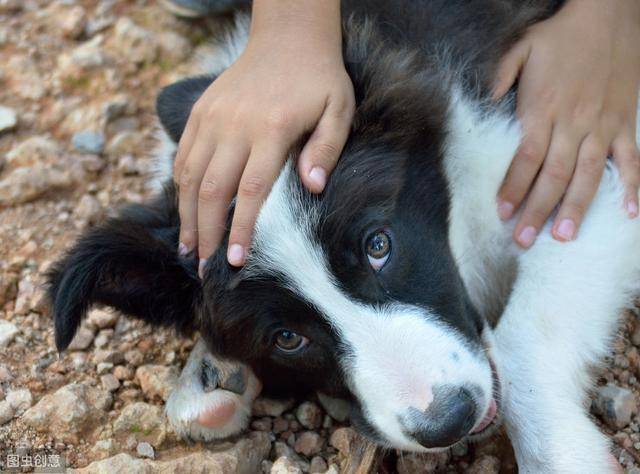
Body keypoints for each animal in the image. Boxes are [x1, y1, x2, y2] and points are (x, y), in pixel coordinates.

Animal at [46, 1, 640, 472]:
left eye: (379, 246)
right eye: (287, 337)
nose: (449, 421)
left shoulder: (576, 180)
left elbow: (521, 340)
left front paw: (564, 455)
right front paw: (210, 376)